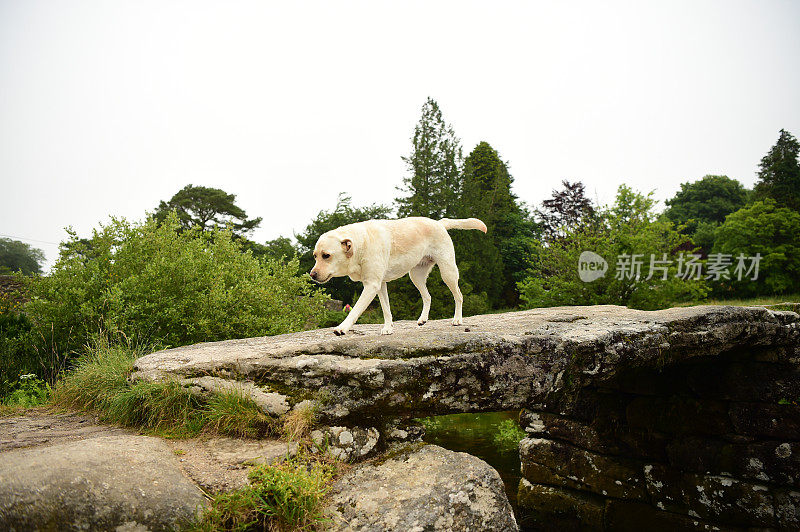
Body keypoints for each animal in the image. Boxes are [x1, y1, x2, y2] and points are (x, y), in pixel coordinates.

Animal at [310, 215, 488, 334]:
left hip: (447, 271)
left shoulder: (371, 285)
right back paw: (423, 319)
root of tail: (438, 222)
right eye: (315, 256)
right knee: (428, 296)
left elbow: (355, 310)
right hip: (416, 276)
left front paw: (342, 328)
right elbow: (386, 309)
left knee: (458, 296)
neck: (361, 245)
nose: (312, 274)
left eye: (326, 255)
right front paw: (388, 328)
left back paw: (457, 320)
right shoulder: (380, 285)